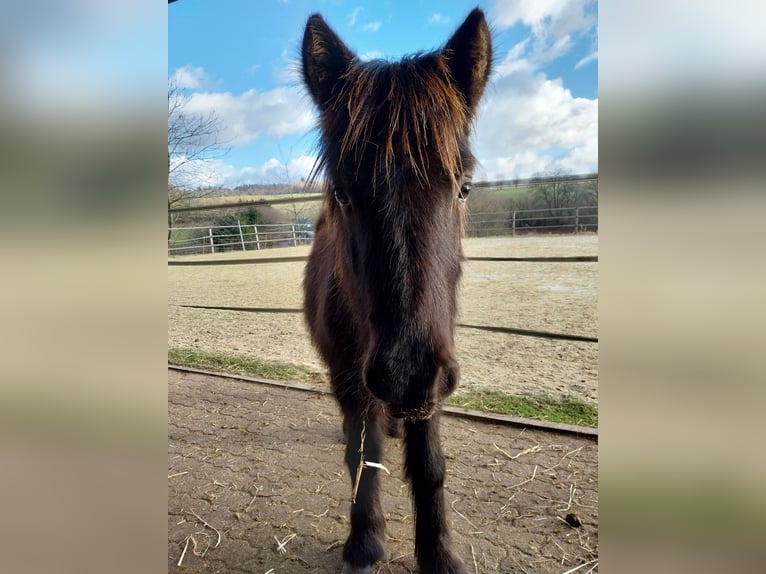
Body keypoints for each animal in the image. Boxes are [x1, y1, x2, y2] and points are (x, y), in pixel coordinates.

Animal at [301, 8, 492, 574]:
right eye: (342, 191)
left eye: (463, 187)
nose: (405, 373)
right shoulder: (352, 378)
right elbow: (363, 457)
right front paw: (365, 544)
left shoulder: (434, 376)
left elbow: (429, 465)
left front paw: (439, 553)